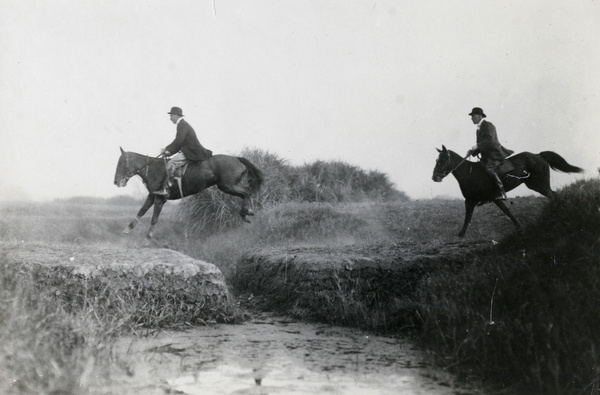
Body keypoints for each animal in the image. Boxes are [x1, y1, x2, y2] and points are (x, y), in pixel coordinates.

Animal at [113, 148, 262, 241]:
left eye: (121, 163)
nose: (116, 182)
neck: (154, 169)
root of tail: (237, 159)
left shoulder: (160, 198)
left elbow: (154, 219)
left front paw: (147, 238)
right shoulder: (152, 196)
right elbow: (141, 211)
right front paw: (127, 229)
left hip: (228, 186)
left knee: (247, 192)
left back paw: (246, 212)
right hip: (228, 186)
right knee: (246, 193)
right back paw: (246, 212)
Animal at [432, 146, 580, 237]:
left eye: (443, 159)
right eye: (436, 159)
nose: (435, 177)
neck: (470, 174)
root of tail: (538, 155)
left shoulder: (491, 198)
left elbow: (504, 211)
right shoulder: (473, 200)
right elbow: (469, 216)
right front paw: (461, 234)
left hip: (540, 184)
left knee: (552, 194)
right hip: (535, 185)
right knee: (553, 194)